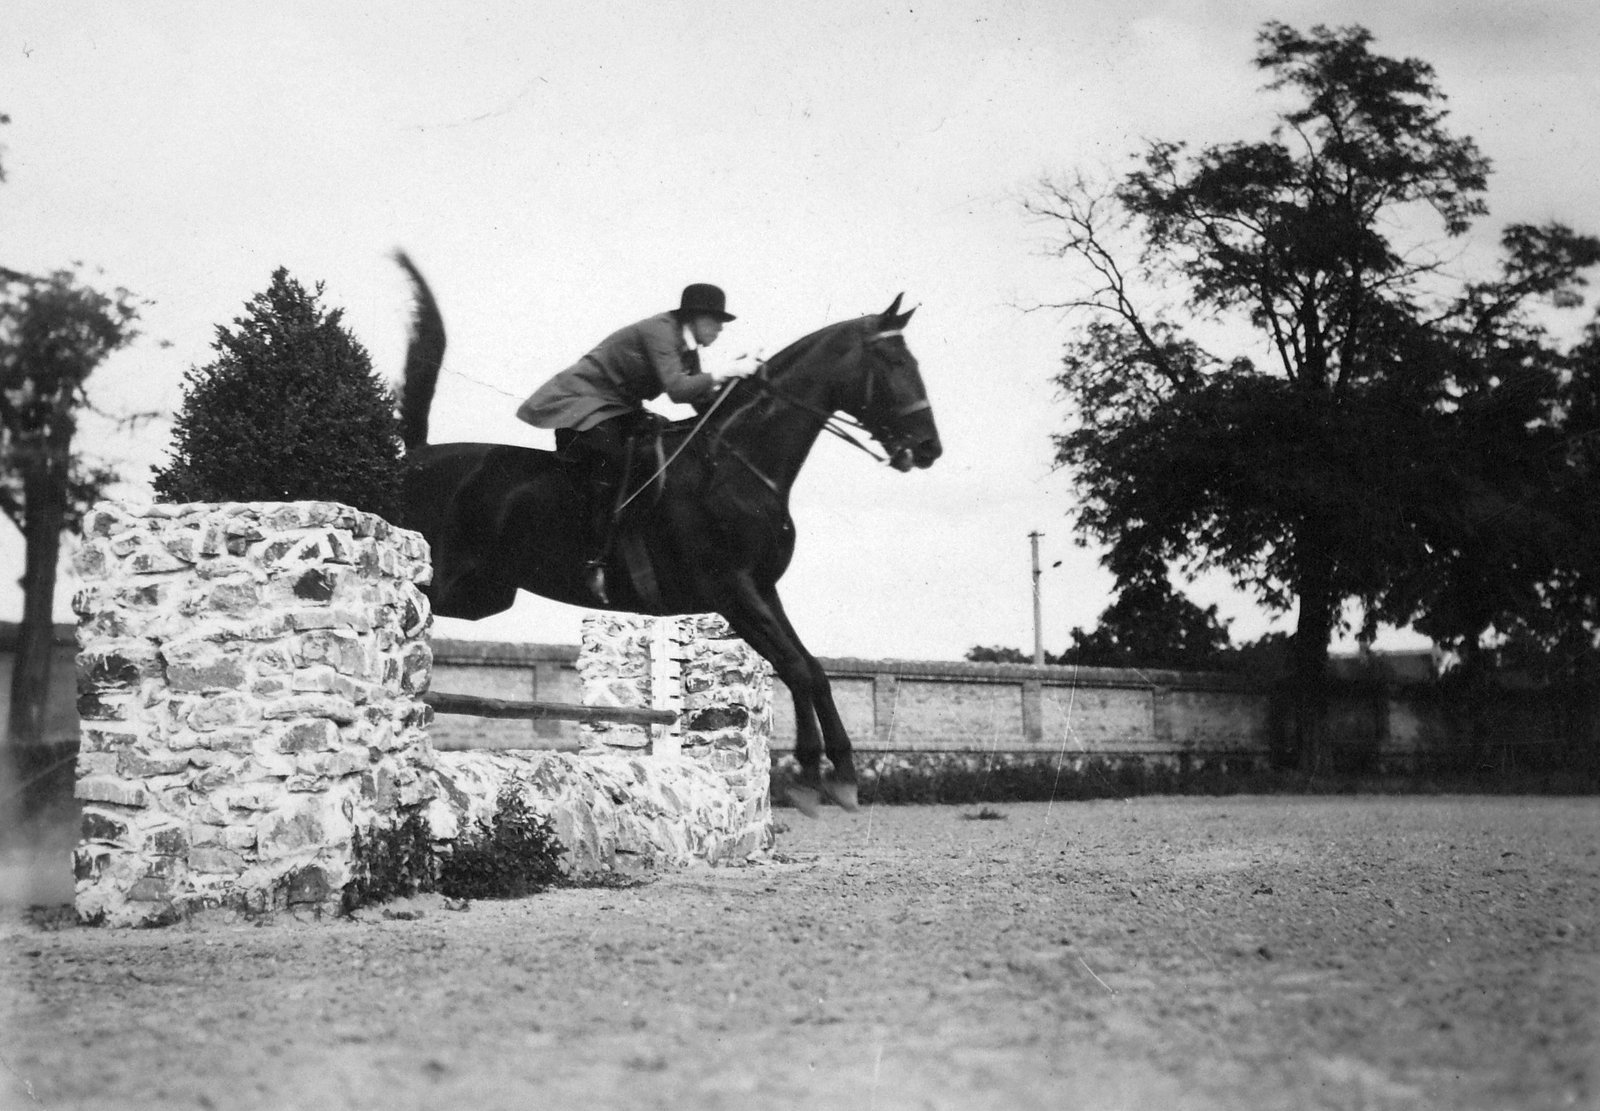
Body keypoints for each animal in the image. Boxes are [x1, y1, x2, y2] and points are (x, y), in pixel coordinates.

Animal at [393, 256, 942, 814]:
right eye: (894, 362)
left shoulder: (762, 589)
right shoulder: (731, 590)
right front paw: (811, 777)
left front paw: (843, 774)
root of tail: (414, 456)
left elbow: (811, 668)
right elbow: (796, 668)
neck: (738, 464)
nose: (928, 448)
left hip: (484, 594)